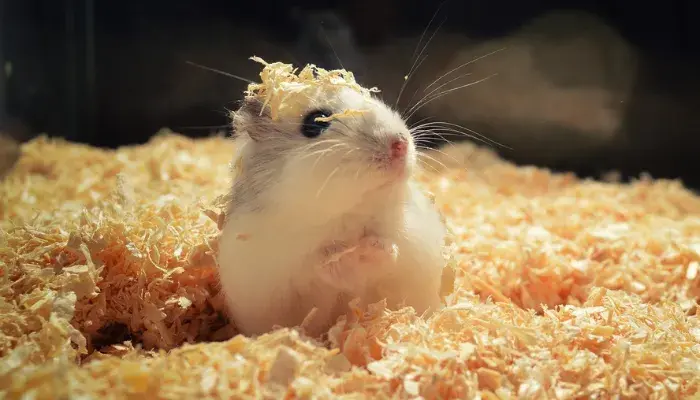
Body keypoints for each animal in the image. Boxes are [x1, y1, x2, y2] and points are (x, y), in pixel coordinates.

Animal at [216, 79, 446, 339]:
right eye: (315, 122)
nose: (400, 144)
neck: (346, 215)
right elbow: (320, 275)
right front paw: (341, 258)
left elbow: (388, 257)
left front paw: (373, 248)